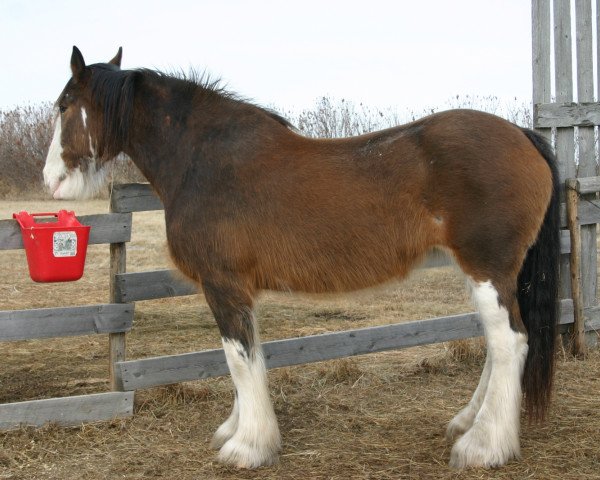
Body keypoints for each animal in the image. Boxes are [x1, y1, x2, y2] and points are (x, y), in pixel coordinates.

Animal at [43, 47, 564, 468]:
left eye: (64, 105)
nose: (51, 180)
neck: (203, 159)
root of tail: (521, 134)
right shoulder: (239, 290)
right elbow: (249, 357)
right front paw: (238, 431)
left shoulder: (222, 284)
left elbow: (238, 359)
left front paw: (247, 447)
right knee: (498, 345)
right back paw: (467, 422)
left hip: (488, 268)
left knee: (510, 342)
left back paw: (483, 446)